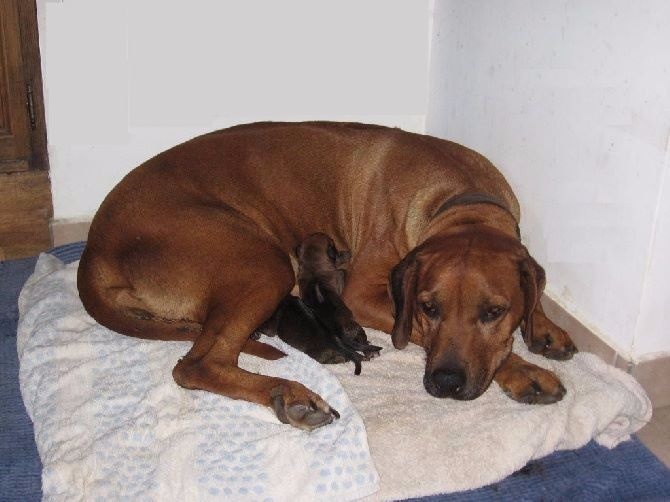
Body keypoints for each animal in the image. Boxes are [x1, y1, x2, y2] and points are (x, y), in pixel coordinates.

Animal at [79, 122, 580, 432]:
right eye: (428, 307)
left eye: (494, 311)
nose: (445, 384)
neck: (458, 198)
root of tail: (94, 249)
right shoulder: (363, 297)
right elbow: (426, 335)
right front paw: (524, 371)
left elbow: (534, 293)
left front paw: (545, 328)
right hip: (263, 263)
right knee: (196, 364)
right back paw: (290, 394)